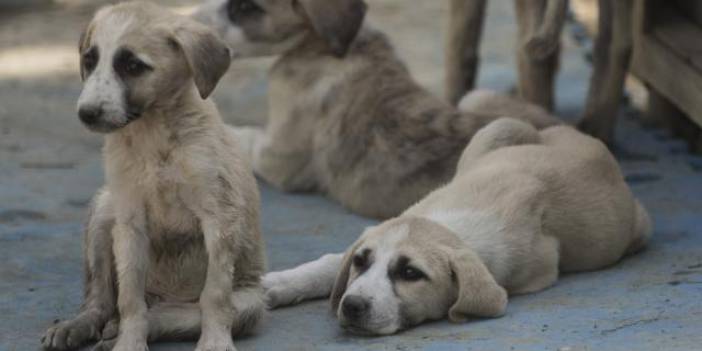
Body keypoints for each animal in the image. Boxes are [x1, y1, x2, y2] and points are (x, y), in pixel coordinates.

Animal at [42, 2, 266, 351]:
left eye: (133, 65)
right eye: (89, 61)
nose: (87, 114)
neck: (153, 136)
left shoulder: (219, 218)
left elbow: (214, 295)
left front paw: (215, 342)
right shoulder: (130, 221)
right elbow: (129, 298)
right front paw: (130, 342)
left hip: (249, 302)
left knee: (179, 312)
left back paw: (118, 330)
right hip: (104, 211)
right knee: (102, 301)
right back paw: (80, 327)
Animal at [266, 118, 656, 336]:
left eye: (410, 273)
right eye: (362, 262)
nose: (352, 306)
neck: (453, 230)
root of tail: (590, 140)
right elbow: (329, 264)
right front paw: (274, 285)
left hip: (638, 227)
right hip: (499, 128)